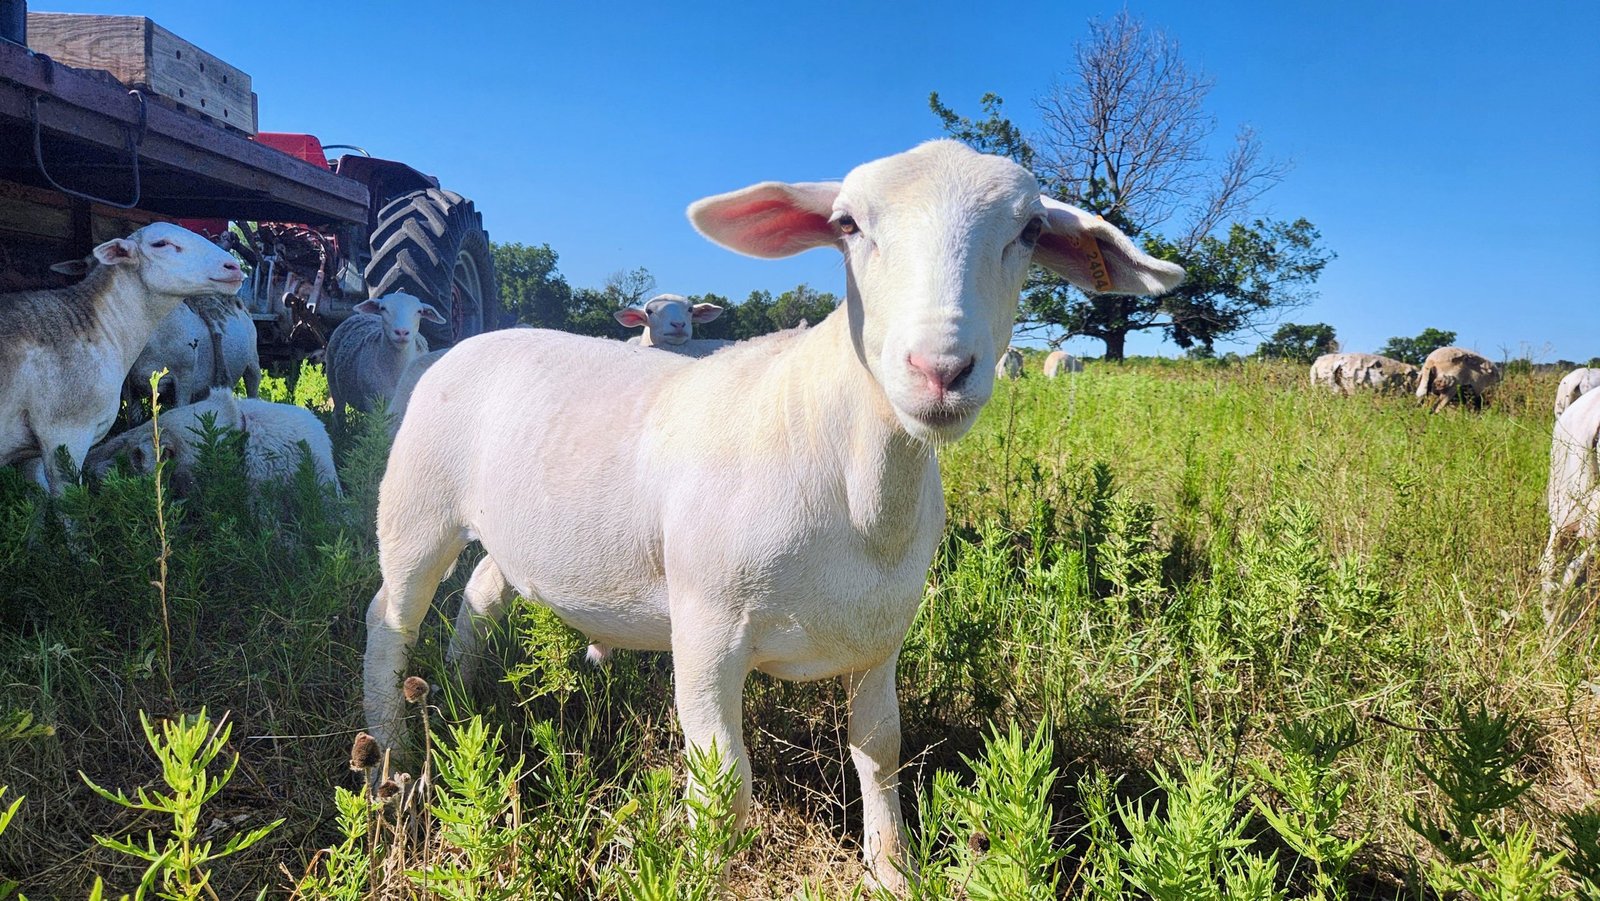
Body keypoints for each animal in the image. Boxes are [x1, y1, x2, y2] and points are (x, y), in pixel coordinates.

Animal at [325, 293, 443, 427]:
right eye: (383, 308)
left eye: (419, 311)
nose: (402, 332)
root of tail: (362, 315)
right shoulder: (373, 404)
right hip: (332, 380)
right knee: (338, 412)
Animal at [362, 139, 1184, 889]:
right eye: (849, 224)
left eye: (1030, 230)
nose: (939, 370)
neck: (855, 484)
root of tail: (470, 340)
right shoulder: (706, 626)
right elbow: (725, 784)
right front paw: (698, 877)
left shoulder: (880, 634)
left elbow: (881, 750)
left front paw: (892, 871)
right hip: (417, 506)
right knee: (389, 617)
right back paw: (390, 754)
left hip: (513, 532)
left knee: (479, 595)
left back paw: (463, 692)